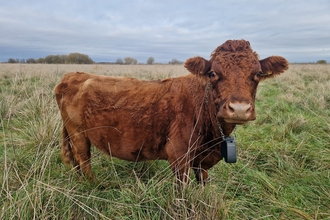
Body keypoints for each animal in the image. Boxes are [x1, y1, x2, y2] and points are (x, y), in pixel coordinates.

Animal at [54, 39, 288, 184]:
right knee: (83, 160)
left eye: (257, 74)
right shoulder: (179, 156)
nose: (239, 109)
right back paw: (95, 186)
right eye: (213, 73)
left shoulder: (201, 162)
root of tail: (73, 75)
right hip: (78, 134)